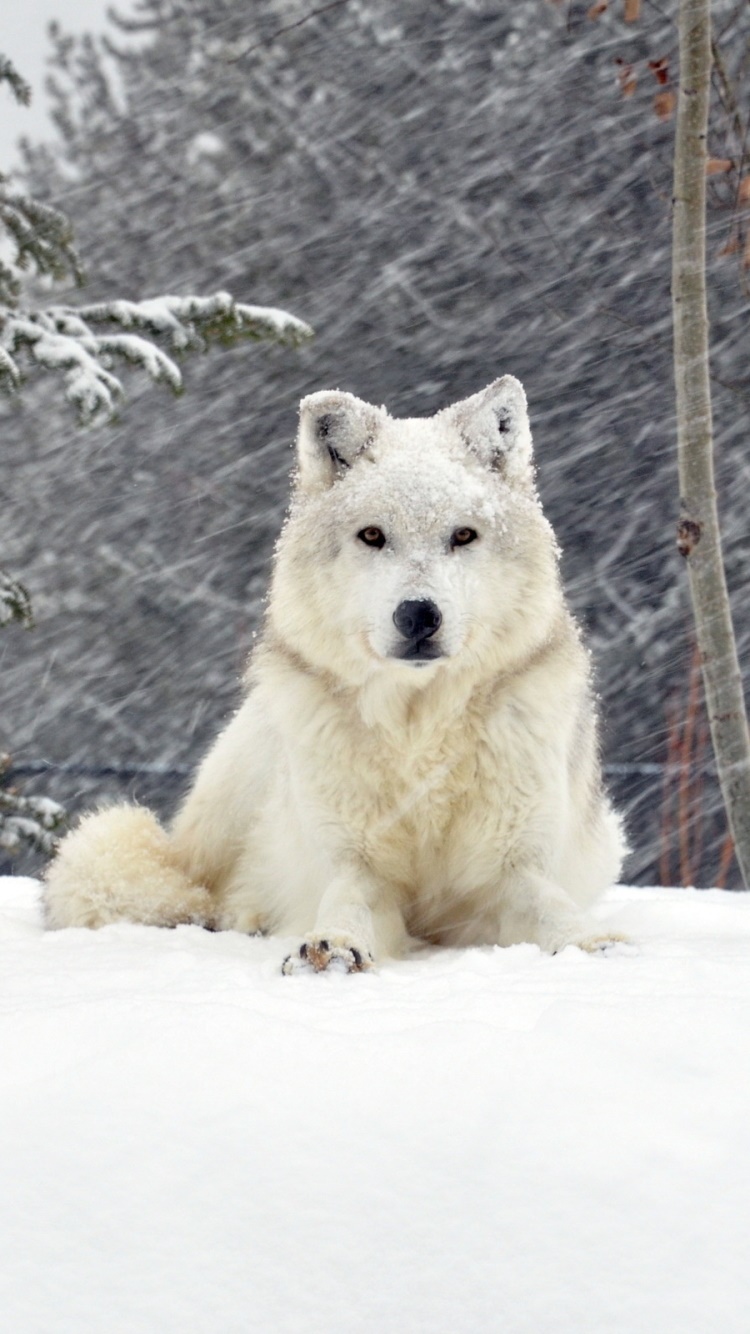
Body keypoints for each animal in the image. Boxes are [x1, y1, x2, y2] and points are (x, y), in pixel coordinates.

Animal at [44, 376, 626, 971]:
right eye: (372, 536)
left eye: (463, 536)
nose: (418, 615)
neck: (419, 732)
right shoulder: (354, 862)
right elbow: (346, 902)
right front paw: (334, 947)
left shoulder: (514, 866)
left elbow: (552, 906)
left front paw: (589, 943)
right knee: (208, 889)